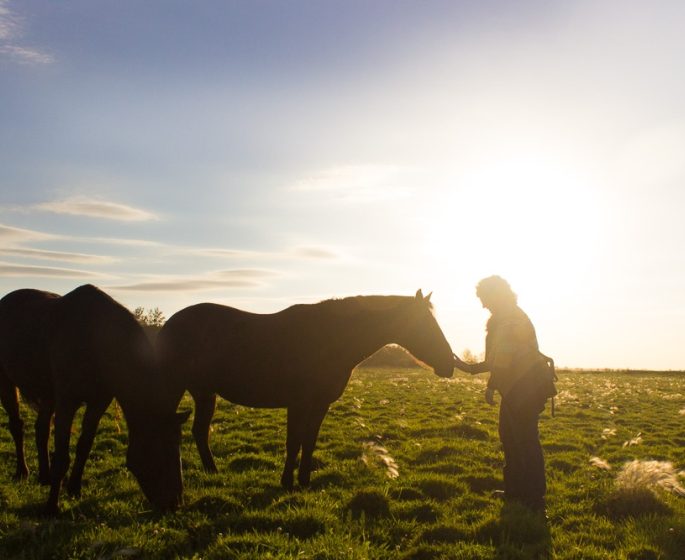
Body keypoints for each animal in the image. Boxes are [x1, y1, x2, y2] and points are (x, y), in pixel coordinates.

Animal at [0, 284, 189, 514]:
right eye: (161, 445)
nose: (175, 503)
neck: (93, 339)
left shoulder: (98, 402)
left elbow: (84, 445)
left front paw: (74, 489)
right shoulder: (67, 402)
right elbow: (62, 455)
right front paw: (52, 506)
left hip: (48, 395)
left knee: (41, 429)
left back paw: (45, 477)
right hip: (6, 382)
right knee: (17, 426)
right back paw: (23, 472)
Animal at [156, 289, 454, 489]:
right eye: (425, 325)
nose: (449, 364)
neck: (329, 338)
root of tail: (169, 324)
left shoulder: (320, 404)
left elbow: (308, 441)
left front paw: (304, 480)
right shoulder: (298, 403)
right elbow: (294, 441)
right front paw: (287, 482)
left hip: (204, 393)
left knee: (198, 431)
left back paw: (212, 472)